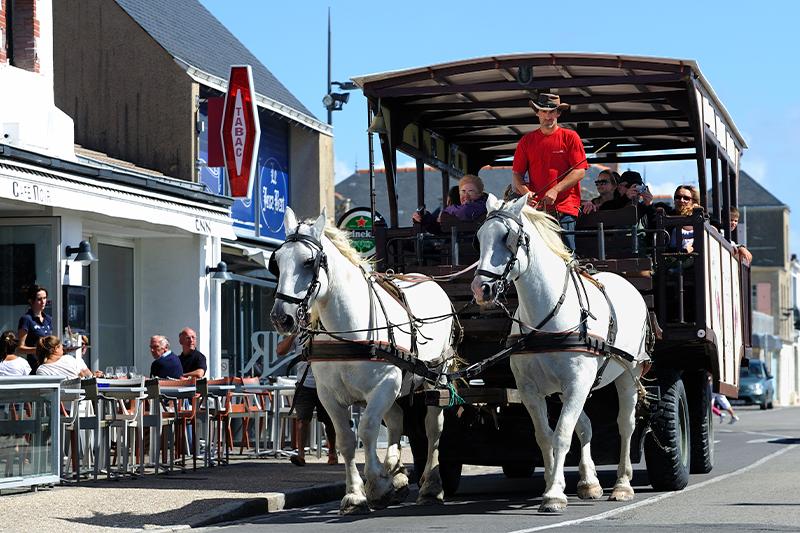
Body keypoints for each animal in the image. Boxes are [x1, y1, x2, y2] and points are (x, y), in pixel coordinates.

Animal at [270, 206, 454, 512]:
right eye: (277, 262)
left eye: (309, 262)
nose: (281, 318)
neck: (347, 330)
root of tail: (428, 278)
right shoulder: (329, 395)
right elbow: (346, 440)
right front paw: (357, 493)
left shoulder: (385, 384)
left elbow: (367, 430)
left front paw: (377, 485)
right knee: (396, 419)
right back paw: (396, 471)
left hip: (435, 377)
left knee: (433, 427)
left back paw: (430, 485)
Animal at [468, 194, 648, 512]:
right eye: (479, 238)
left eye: (509, 237)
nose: (481, 288)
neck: (548, 318)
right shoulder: (530, 389)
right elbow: (545, 437)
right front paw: (555, 483)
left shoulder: (576, 383)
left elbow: (562, 434)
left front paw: (553, 494)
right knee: (585, 426)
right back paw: (589, 483)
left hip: (629, 373)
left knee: (625, 425)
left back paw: (622, 485)